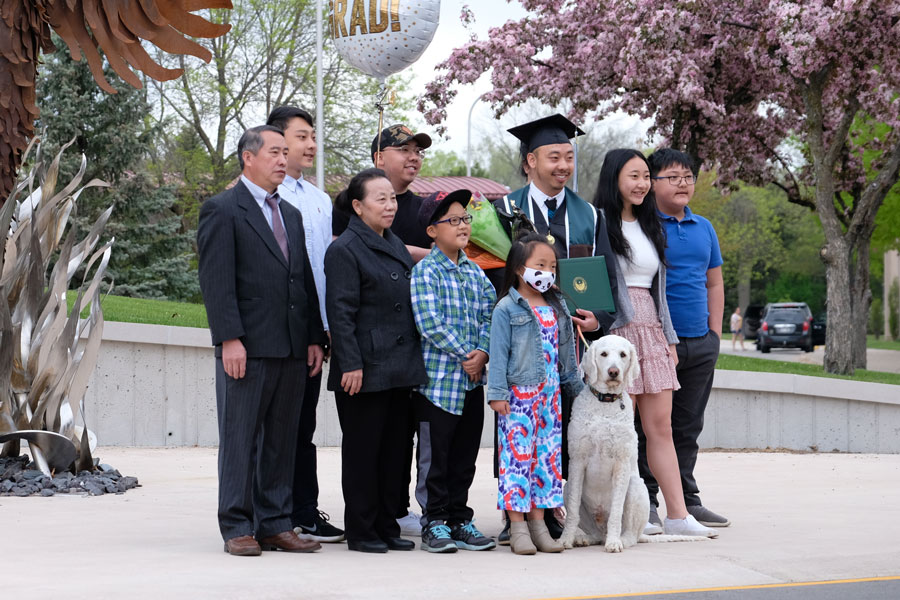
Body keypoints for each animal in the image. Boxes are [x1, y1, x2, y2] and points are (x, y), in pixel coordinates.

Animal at [560, 336, 708, 552]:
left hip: (636, 487)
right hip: (568, 487)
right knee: (596, 533)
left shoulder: (621, 463)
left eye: (623, 354)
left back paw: (618, 539)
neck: (605, 404)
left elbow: (616, 512)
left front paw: (614, 543)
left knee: (629, 534)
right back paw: (586, 538)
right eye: (603, 354)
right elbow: (572, 510)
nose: (614, 371)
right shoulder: (577, 460)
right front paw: (565, 539)